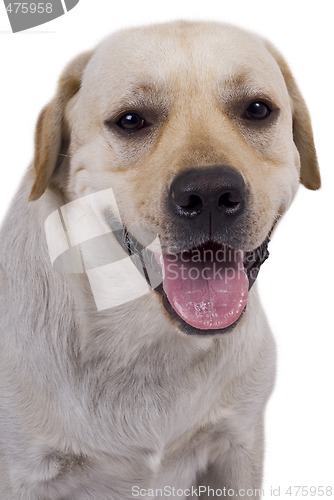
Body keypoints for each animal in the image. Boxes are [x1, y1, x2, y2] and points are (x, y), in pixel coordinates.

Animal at [0, 20, 320, 500]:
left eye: (257, 109)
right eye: (131, 120)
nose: (209, 193)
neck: (147, 342)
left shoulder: (238, 444)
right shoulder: (24, 474)